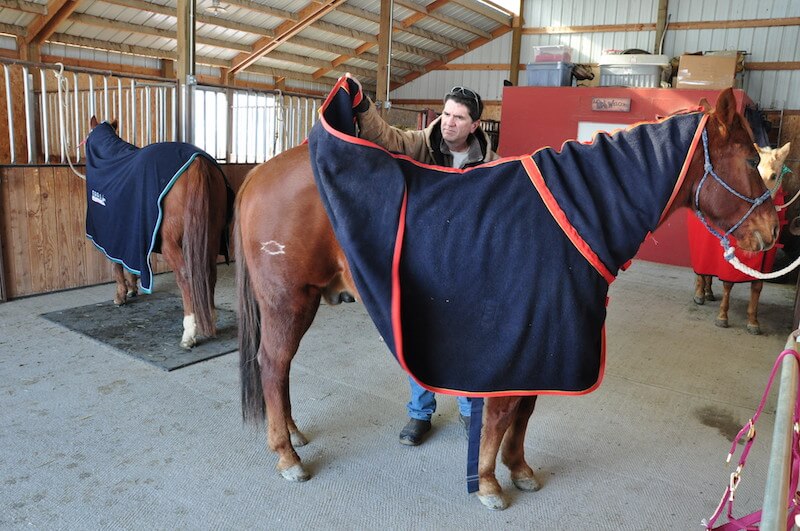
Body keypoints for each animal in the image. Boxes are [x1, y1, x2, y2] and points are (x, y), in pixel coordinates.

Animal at [85, 116, 232, 349]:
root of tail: (198, 162)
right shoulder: (131, 239)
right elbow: (131, 264)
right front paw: (133, 289)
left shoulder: (112, 237)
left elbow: (116, 266)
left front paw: (121, 295)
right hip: (209, 239)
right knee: (208, 273)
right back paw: (210, 320)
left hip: (172, 244)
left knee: (186, 276)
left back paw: (189, 332)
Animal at [234, 87, 779, 510]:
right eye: (753, 159)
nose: (773, 232)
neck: (579, 214)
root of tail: (259, 173)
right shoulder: (517, 340)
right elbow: (500, 416)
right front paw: (489, 484)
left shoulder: (546, 343)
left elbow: (525, 414)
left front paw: (519, 470)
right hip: (288, 300)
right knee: (273, 362)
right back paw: (287, 455)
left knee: (279, 368)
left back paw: (294, 435)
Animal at [692, 141, 791, 334]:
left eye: (774, 175)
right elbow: (728, 285)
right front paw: (722, 317)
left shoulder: (765, 263)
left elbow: (757, 287)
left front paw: (753, 321)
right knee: (702, 272)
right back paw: (700, 294)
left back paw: (708, 292)